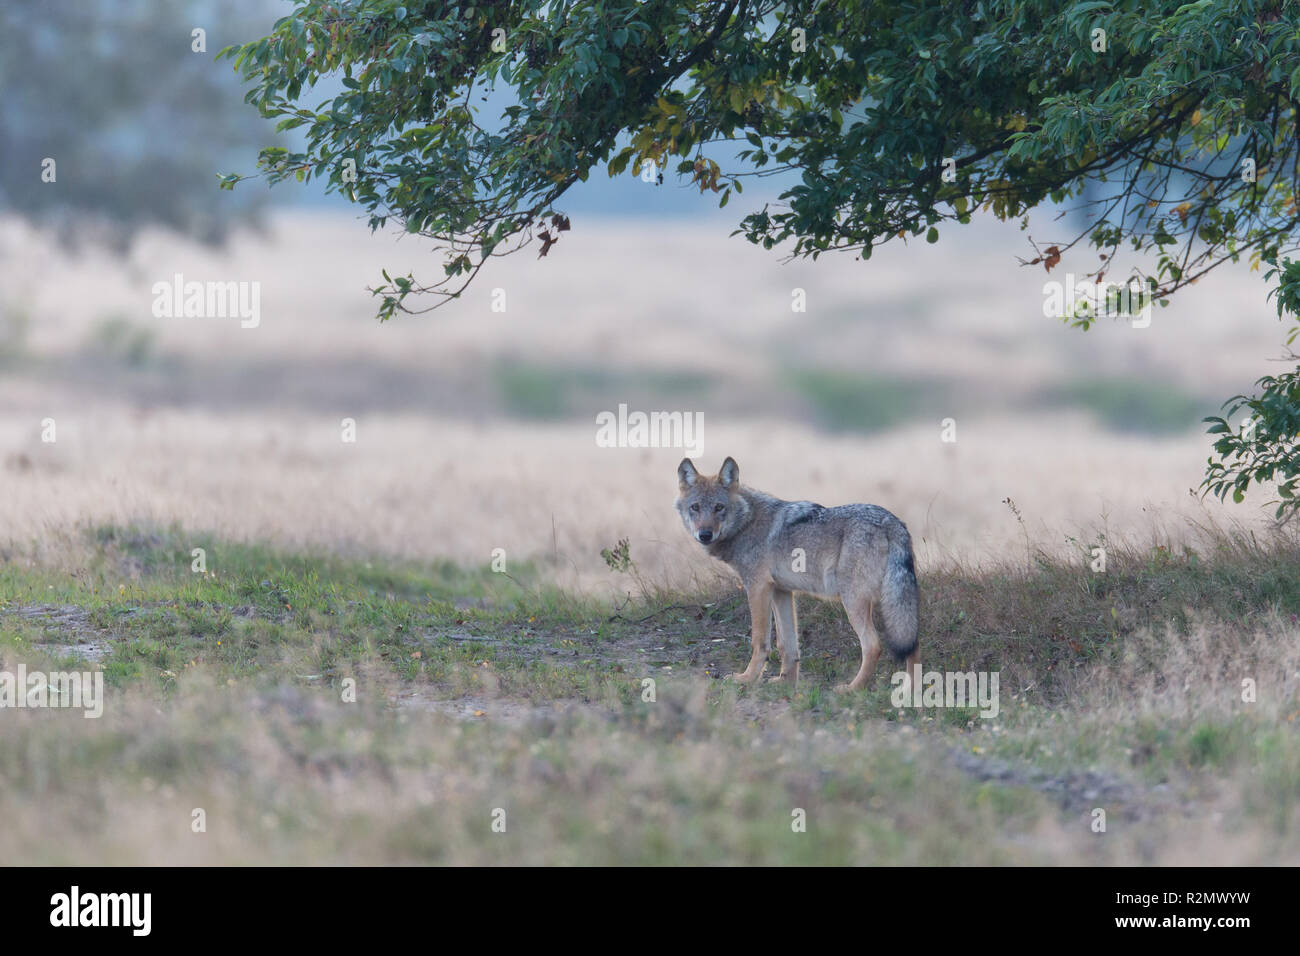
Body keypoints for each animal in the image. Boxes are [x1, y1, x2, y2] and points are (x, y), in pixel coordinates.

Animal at [676, 457, 920, 691]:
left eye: (719, 507)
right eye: (695, 507)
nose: (705, 534)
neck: (747, 522)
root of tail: (893, 521)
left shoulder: (757, 588)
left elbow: (759, 641)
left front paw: (747, 678)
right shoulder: (781, 592)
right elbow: (787, 645)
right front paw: (786, 682)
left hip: (853, 601)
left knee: (873, 646)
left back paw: (852, 688)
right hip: (897, 603)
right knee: (912, 643)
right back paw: (911, 692)